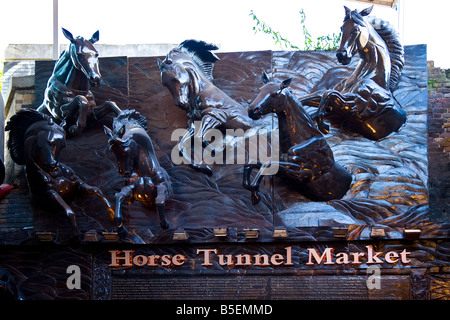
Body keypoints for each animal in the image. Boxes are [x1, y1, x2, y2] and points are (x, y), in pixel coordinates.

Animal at [158, 40, 251, 175]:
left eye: (176, 79)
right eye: (164, 83)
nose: (181, 103)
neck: (201, 91)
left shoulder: (214, 116)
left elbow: (199, 138)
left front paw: (215, 155)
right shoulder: (194, 123)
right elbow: (182, 143)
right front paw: (201, 166)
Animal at [243, 73, 352, 204]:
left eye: (276, 93)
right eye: (260, 90)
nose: (252, 110)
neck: (301, 140)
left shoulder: (304, 173)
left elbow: (267, 165)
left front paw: (255, 194)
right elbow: (253, 163)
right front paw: (252, 190)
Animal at [300, 5, 406, 140]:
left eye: (356, 29)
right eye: (342, 28)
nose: (341, 55)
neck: (373, 76)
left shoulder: (354, 106)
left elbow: (329, 95)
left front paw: (322, 124)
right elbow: (315, 95)